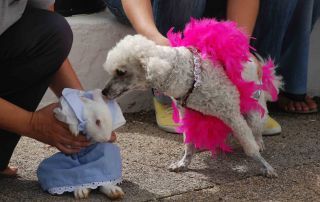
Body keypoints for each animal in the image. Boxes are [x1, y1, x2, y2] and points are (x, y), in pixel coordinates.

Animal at [102, 34, 282, 178]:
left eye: (121, 72)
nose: (103, 92)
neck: (187, 73)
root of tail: (255, 61)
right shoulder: (187, 114)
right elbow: (189, 144)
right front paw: (184, 163)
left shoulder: (232, 115)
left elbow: (250, 148)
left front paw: (265, 166)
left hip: (254, 110)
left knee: (256, 129)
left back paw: (259, 142)